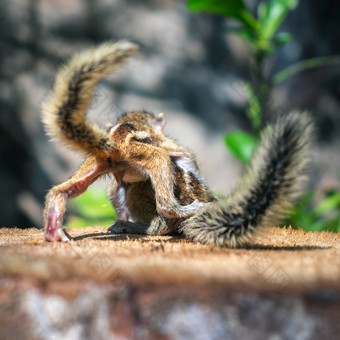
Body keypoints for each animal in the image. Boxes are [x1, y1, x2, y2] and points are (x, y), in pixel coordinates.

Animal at [41, 41, 314, 246]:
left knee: (71, 189)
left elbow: (115, 191)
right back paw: (169, 214)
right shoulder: (164, 141)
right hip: (139, 157)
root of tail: (116, 142)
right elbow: (183, 156)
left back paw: (57, 215)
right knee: (157, 178)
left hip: (98, 160)